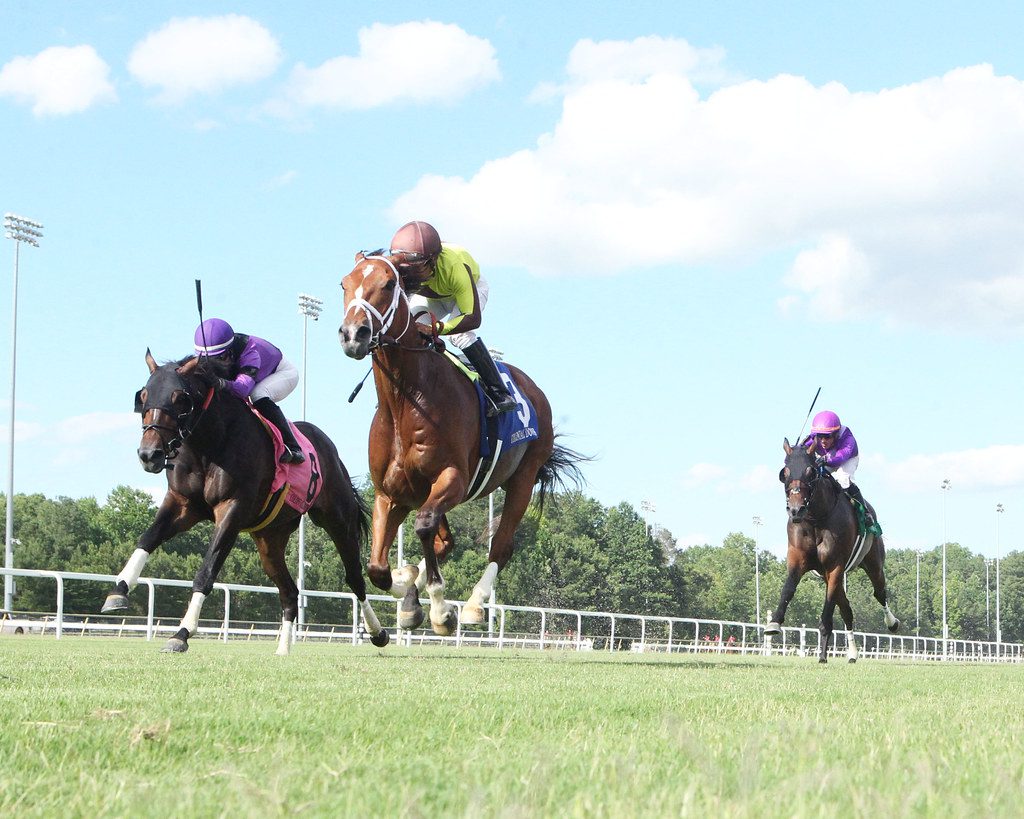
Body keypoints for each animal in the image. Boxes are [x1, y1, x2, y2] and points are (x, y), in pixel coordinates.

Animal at [100, 350, 387, 651]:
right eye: (143, 396)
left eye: (180, 399)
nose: (149, 454)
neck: (210, 444)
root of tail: (329, 447)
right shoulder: (182, 503)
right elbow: (148, 538)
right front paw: (118, 592)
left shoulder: (232, 509)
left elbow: (207, 570)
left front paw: (182, 633)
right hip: (270, 539)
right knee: (289, 591)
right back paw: (282, 649)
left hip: (337, 520)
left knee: (354, 578)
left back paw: (378, 632)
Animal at [331, 253, 581, 634]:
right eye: (345, 283)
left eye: (388, 284)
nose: (353, 335)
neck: (406, 401)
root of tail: (533, 390)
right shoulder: (391, 493)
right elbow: (377, 568)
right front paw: (406, 584)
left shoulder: (453, 477)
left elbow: (422, 527)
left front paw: (439, 609)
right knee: (444, 540)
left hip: (522, 478)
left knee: (500, 546)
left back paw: (475, 605)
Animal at [765, 438, 901, 663]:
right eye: (784, 472)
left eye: (810, 472)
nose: (795, 510)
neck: (815, 519)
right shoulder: (798, 560)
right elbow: (788, 589)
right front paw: (774, 623)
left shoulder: (835, 565)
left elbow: (828, 610)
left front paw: (822, 655)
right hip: (828, 577)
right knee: (847, 609)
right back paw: (852, 653)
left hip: (873, 565)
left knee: (879, 593)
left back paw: (892, 622)